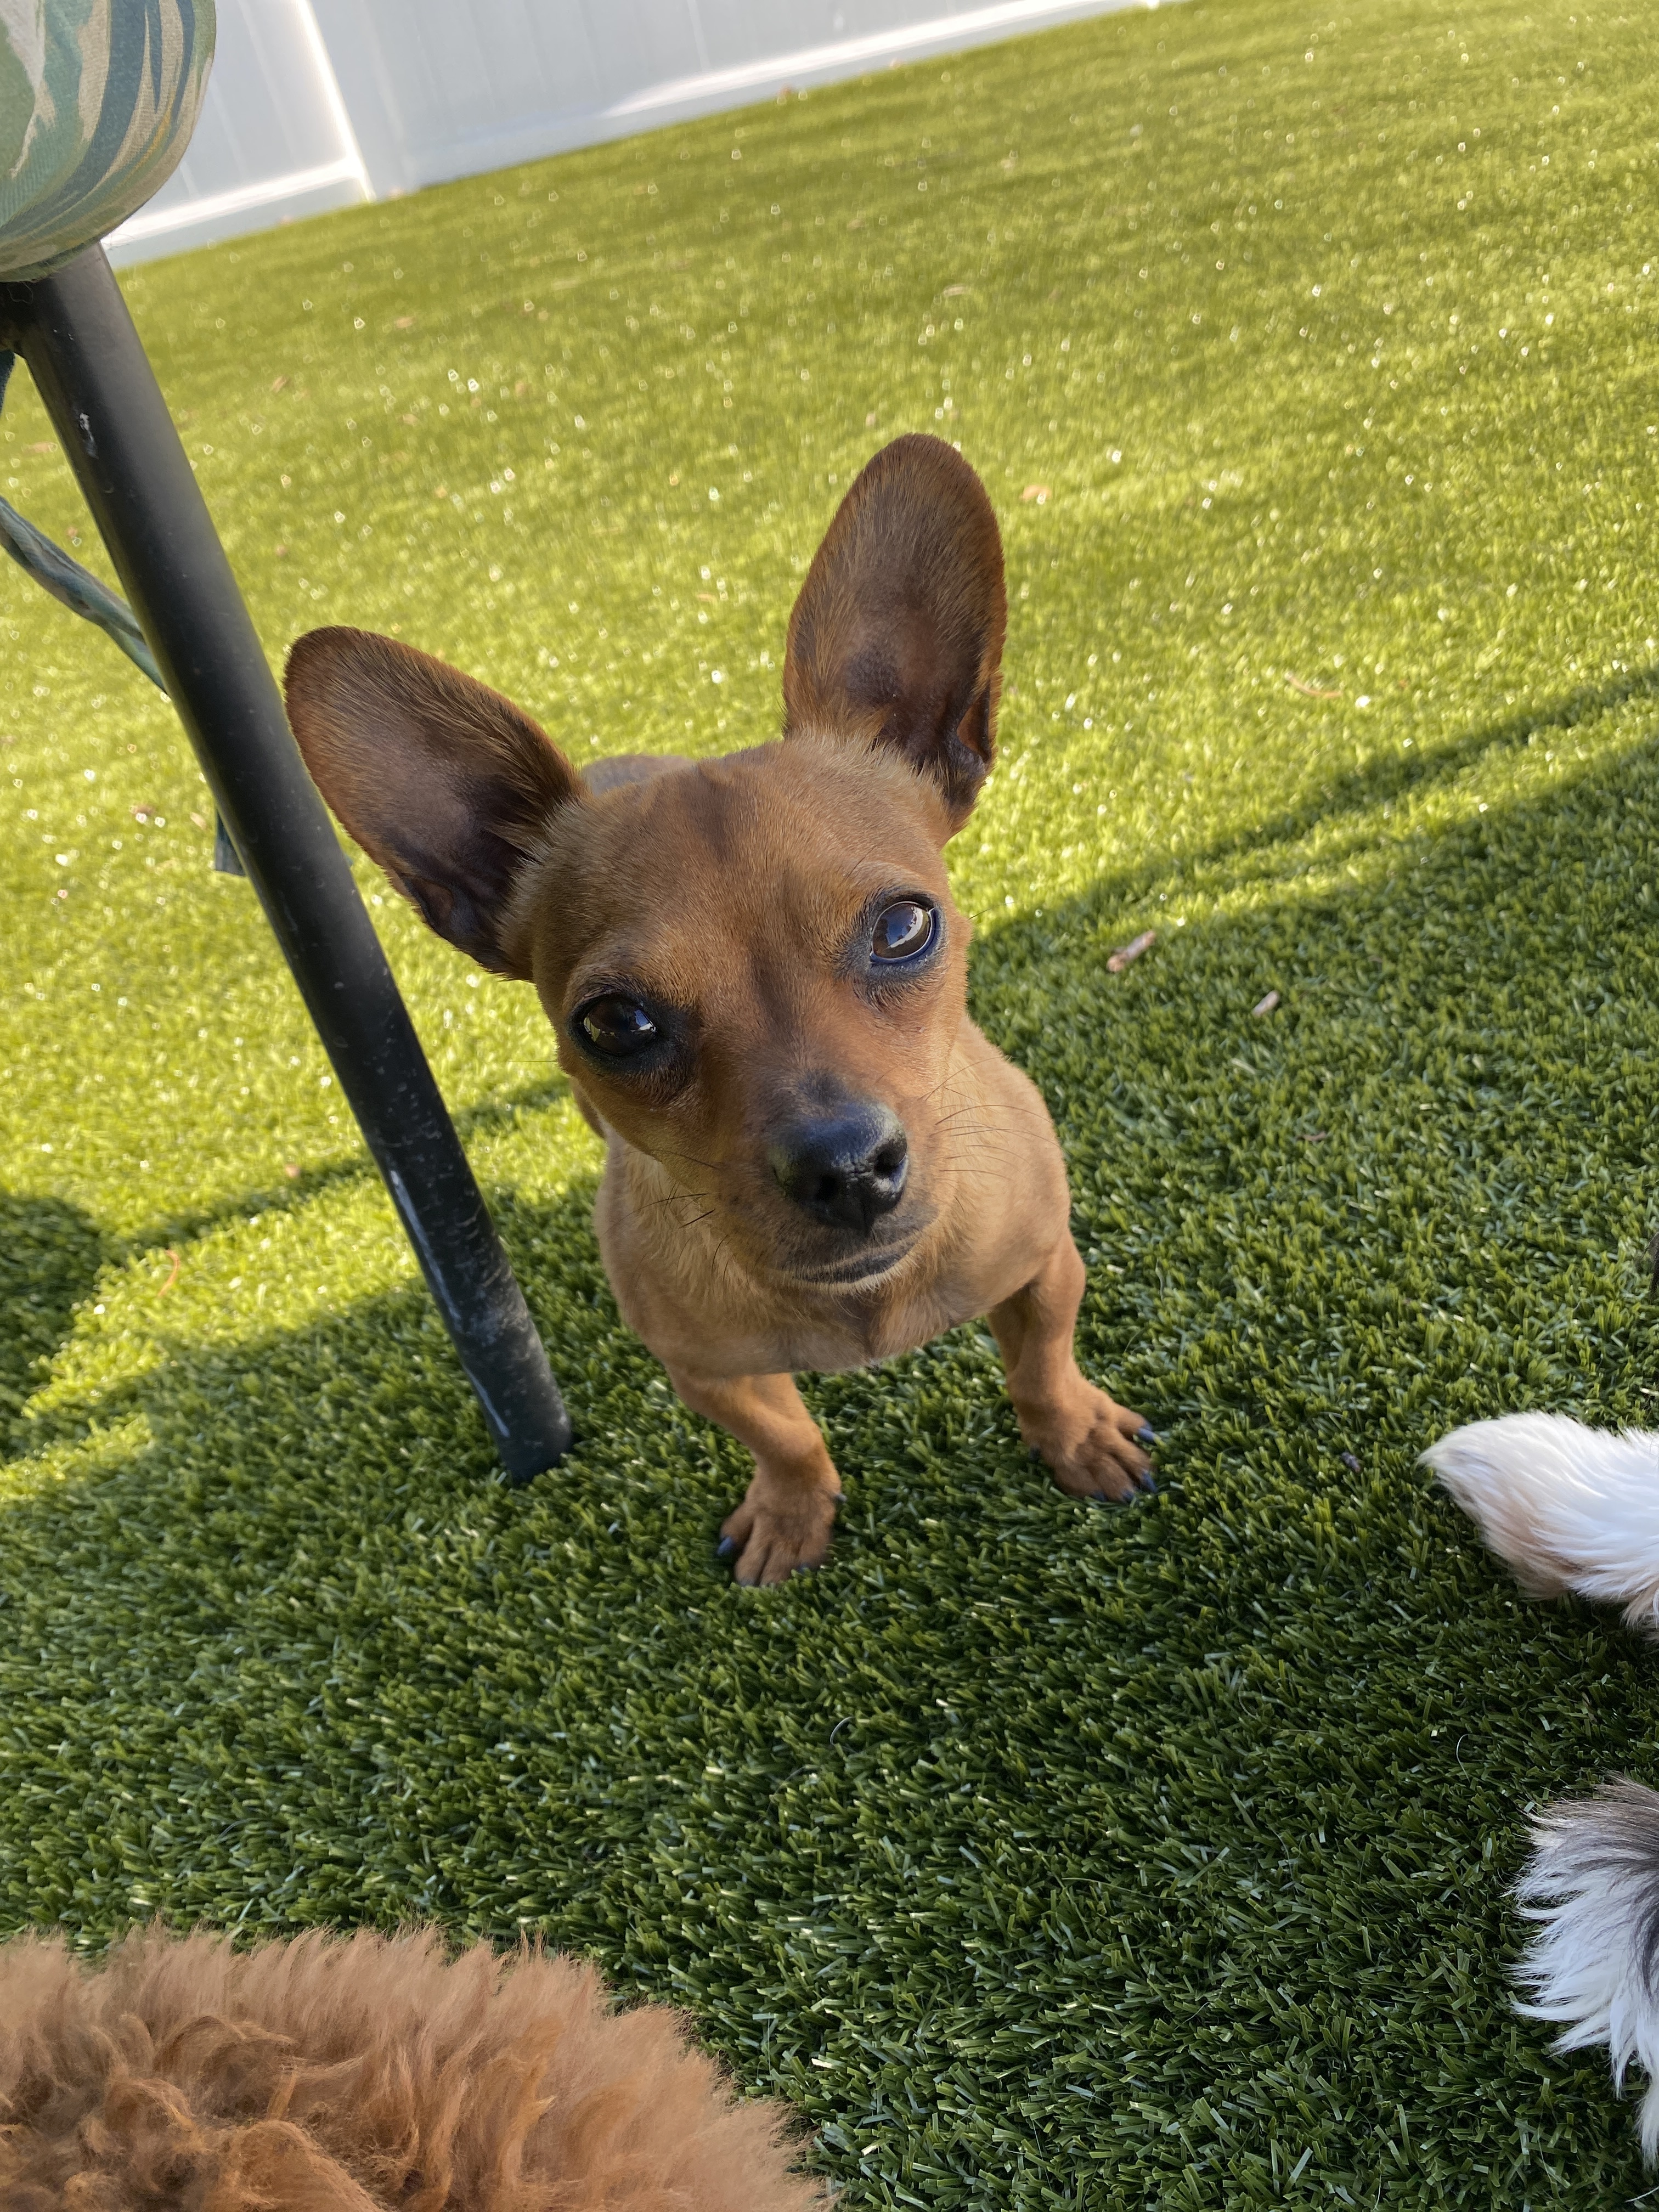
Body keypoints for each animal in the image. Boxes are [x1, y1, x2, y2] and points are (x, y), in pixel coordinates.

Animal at [285, 431, 1159, 1583]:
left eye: (902, 928)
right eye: (614, 1024)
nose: (845, 1167)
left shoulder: (1045, 1268)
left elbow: (1041, 1366)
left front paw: (1073, 1435)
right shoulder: (703, 1371)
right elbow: (783, 1435)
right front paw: (793, 1509)